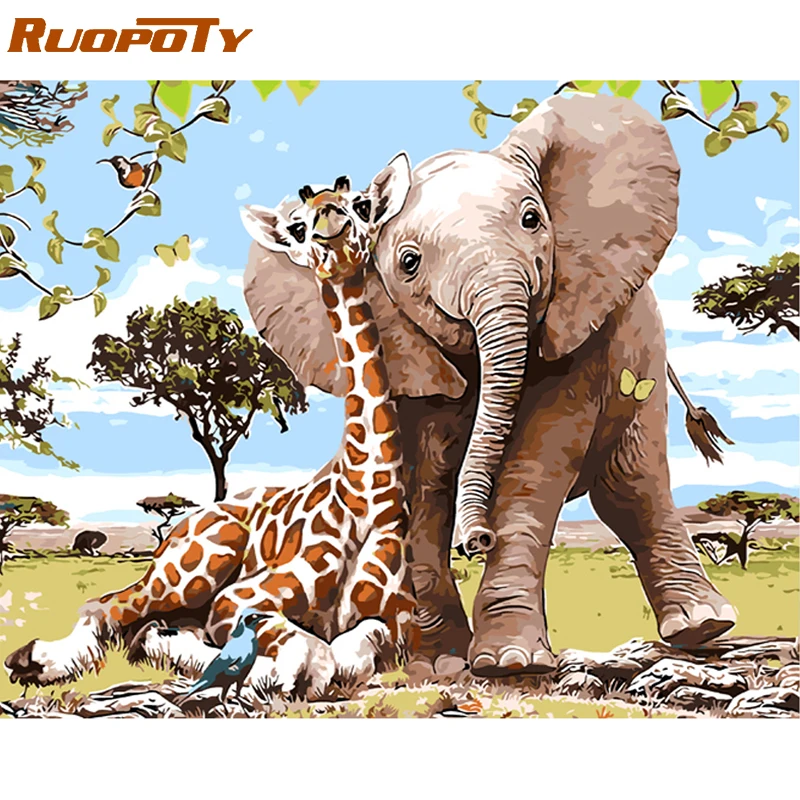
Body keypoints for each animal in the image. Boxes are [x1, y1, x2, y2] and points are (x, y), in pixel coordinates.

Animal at [4, 155, 418, 700]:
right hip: (196, 565)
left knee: (142, 630)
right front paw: (269, 673)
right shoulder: (237, 600)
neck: (366, 489)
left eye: (363, 205)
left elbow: (355, 651)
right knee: (110, 608)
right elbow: (311, 655)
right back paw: (36, 660)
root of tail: (180, 528)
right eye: (297, 226)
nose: (330, 220)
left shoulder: (402, 618)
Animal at [243, 91, 736, 677]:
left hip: (643, 363)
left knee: (633, 485)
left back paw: (702, 627)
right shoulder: (402, 354)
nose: (475, 539)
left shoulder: (578, 320)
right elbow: (421, 480)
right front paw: (440, 665)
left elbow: (535, 461)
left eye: (532, 219)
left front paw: (509, 662)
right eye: (408, 263)